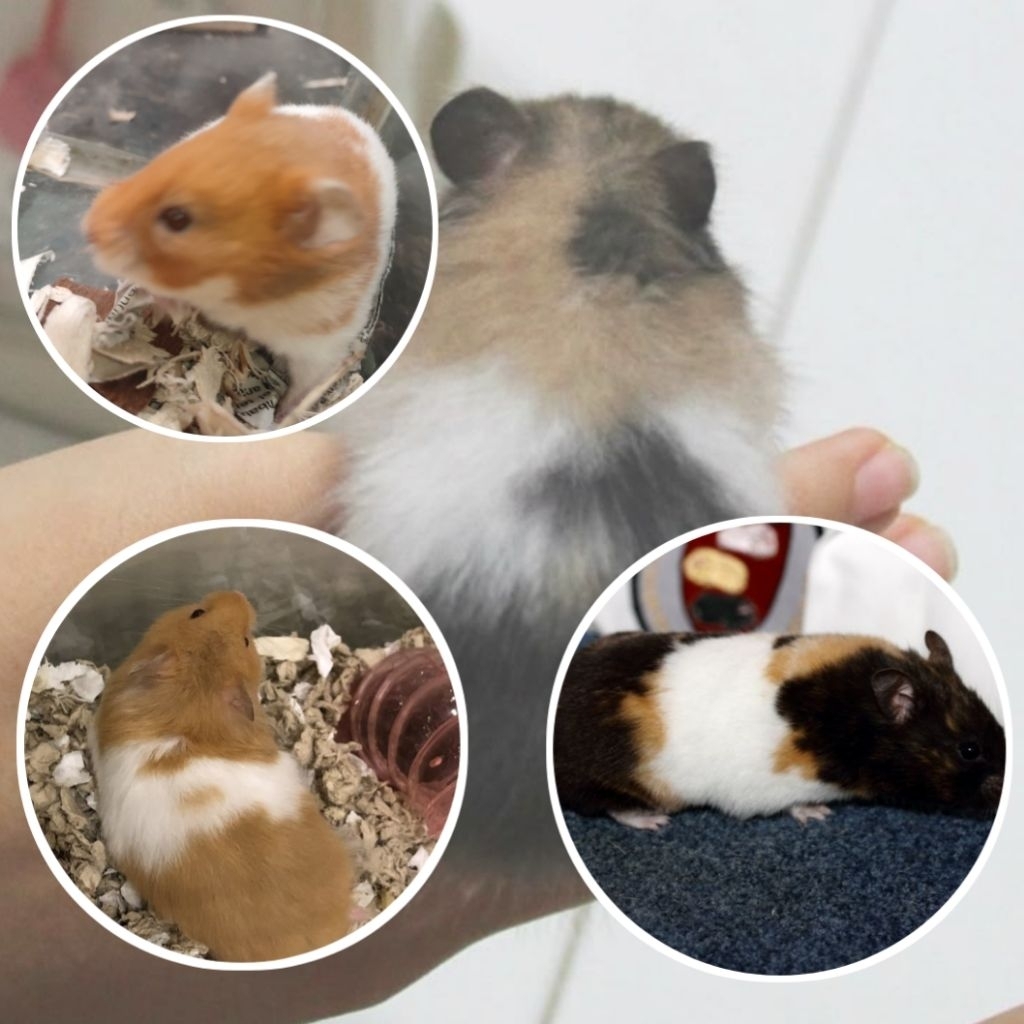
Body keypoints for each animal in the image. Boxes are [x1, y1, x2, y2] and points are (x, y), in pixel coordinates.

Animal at [83, 73, 398, 419]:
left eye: (177, 218)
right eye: (156, 164)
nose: (88, 229)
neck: (241, 300)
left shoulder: (321, 343)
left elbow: (304, 388)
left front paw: (281, 417)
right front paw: (172, 310)